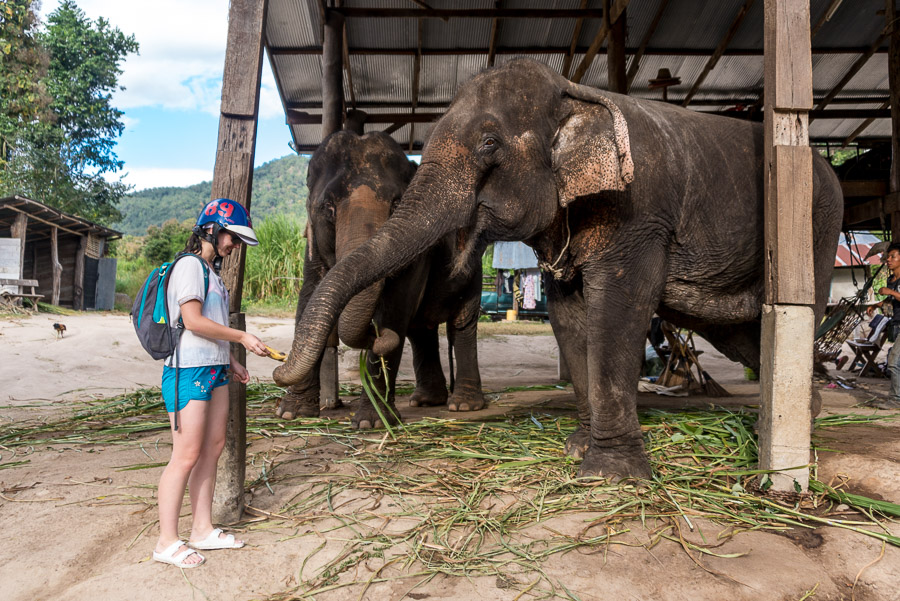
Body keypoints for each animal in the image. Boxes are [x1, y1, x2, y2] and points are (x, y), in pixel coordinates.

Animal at [276, 127, 486, 426]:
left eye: (397, 203)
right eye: (328, 207)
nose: (278, 365)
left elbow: (395, 307)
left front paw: (370, 422)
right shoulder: (312, 246)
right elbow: (308, 298)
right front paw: (292, 413)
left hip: (473, 267)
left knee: (462, 323)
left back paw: (464, 405)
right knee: (420, 330)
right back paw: (425, 400)